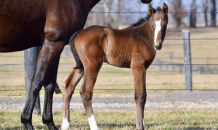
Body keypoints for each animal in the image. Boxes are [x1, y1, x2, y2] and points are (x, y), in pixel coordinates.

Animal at [63, 2, 169, 130]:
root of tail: (79, 33)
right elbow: (140, 95)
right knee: (85, 92)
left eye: (165, 24)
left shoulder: (143, 68)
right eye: (153, 25)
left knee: (68, 86)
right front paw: (139, 126)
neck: (143, 36)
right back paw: (94, 126)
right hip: (92, 65)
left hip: (81, 66)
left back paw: (65, 125)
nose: (158, 45)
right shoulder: (138, 66)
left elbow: (143, 93)